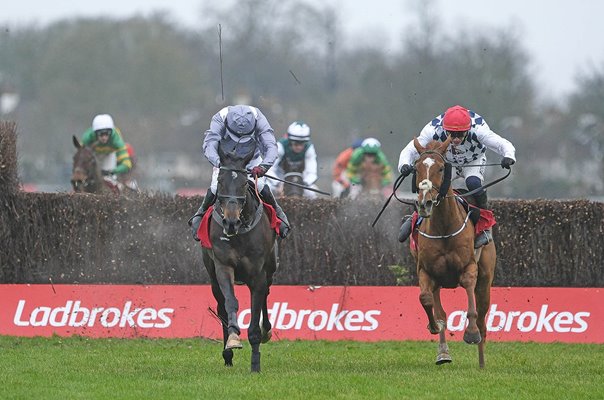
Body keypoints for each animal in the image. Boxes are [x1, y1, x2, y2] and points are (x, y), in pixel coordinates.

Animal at [203, 140, 278, 372]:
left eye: (245, 183)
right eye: (220, 181)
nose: (230, 222)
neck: (239, 234)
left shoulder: (258, 274)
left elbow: (256, 313)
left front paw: (255, 362)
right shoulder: (223, 266)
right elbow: (230, 303)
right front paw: (233, 339)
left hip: (271, 269)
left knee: (266, 295)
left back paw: (266, 330)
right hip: (212, 276)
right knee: (220, 307)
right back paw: (227, 354)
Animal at [410, 138, 496, 368]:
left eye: (441, 168)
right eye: (416, 168)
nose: (425, 203)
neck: (443, 227)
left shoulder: (469, 267)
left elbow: (471, 302)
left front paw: (471, 333)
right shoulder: (426, 271)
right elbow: (426, 300)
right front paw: (434, 327)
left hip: (486, 280)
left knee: (483, 317)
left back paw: (482, 362)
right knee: (440, 310)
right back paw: (443, 353)